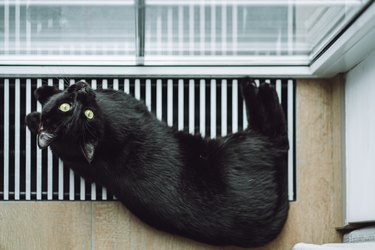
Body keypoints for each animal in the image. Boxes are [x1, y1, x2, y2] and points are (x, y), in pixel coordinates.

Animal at [25, 79, 290, 247]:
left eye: (68, 107)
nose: (81, 93)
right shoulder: (124, 101)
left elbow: (38, 113)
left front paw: (40, 98)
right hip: (245, 144)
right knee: (277, 134)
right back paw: (256, 86)